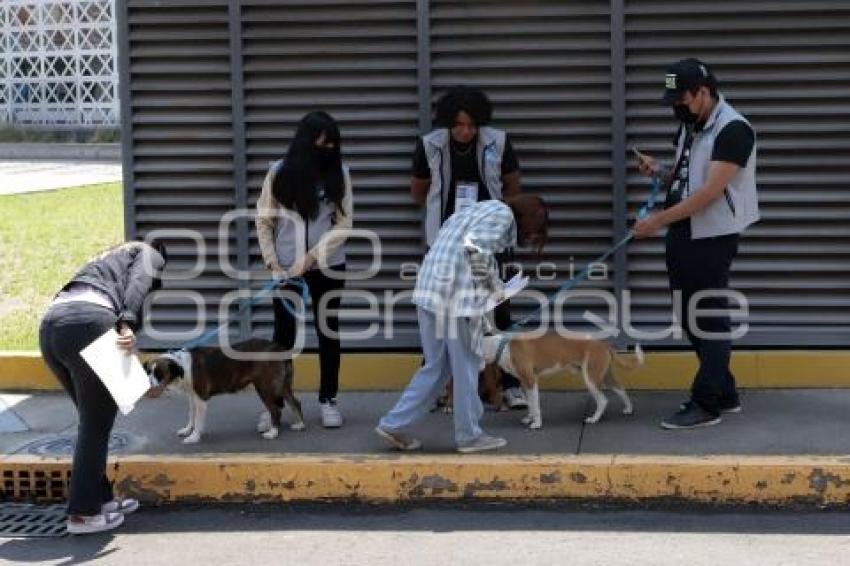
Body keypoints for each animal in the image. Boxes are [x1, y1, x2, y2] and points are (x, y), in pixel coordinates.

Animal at [480, 332, 640, 430]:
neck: (501, 347)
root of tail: (603, 344)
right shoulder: (525, 383)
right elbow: (531, 404)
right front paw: (529, 418)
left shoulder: (531, 380)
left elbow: (536, 406)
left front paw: (537, 423)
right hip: (602, 375)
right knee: (620, 388)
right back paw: (629, 408)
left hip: (591, 378)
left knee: (603, 400)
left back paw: (594, 419)